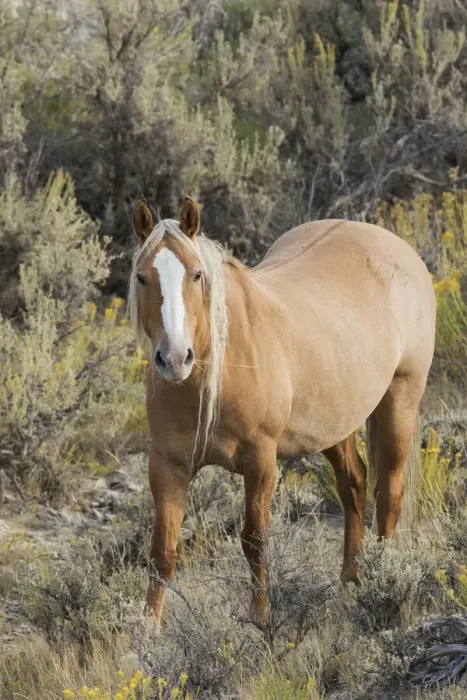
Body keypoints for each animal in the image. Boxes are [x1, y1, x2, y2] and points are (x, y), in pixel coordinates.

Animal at [128, 196, 436, 626]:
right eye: (142, 278)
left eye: (196, 275)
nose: (174, 359)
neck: (218, 369)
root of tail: (398, 247)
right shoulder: (167, 465)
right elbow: (163, 551)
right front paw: (147, 629)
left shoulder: (261, 461)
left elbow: (254, 540)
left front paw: (261, 619)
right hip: (334, 421)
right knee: (354, 485)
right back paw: (349, 583)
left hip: (400, 400)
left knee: (388, 493)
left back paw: (382, 581)